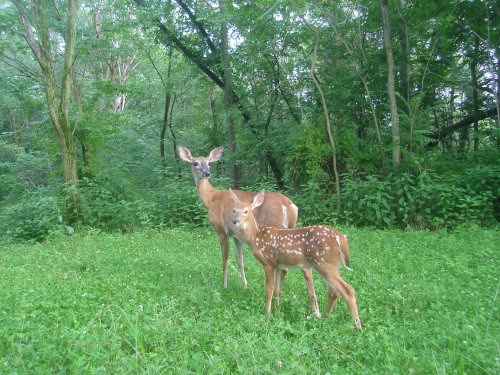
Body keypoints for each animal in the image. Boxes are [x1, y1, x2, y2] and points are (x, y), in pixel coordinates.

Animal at [180, 145, 320, 318]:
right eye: (196, 163)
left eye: (209, 163)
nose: (207, 173)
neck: (211, 198)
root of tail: (289, 206)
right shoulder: (236, 235)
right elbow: (240, 259)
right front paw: (245, 285)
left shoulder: (222, 231)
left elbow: (225, 259)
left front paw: (224, 285)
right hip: (291, 229)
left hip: (277, 227)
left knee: (302, 268)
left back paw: (313, 310)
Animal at [230, 189, 364, 330]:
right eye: (234, 210)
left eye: (246, 211)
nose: (235, 221)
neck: (255, 236)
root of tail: (341, 238)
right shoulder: (279, 265)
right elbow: (276, 290)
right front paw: (276, 314)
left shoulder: (268, 263)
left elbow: (268, 291)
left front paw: (267, 318)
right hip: (331, 265)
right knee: (334, 292)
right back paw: (324, 319)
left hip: (324, 263)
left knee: (348, 290)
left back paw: (357, 327)